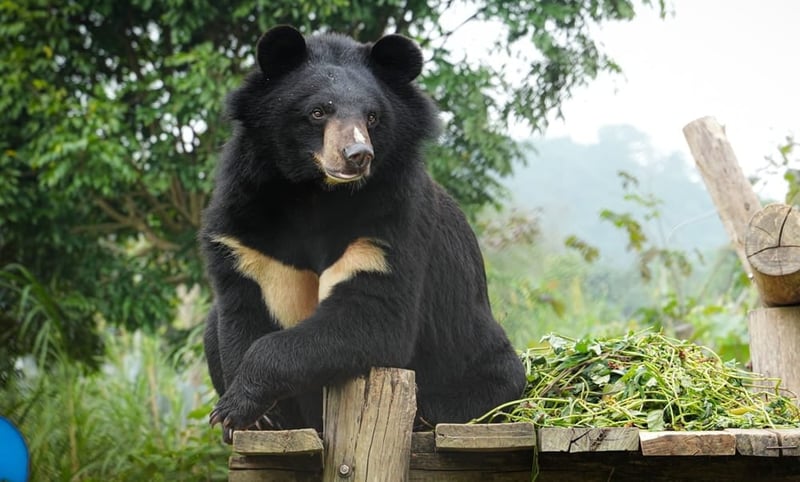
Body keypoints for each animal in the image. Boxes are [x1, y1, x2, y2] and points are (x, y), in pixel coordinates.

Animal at [200, 25, 526, 438]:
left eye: (372, 117)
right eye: (318, 111)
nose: (357, 155)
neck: (314, 192)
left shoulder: (389, 222)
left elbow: (374, 315)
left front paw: (236, 405)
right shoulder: (246, 231)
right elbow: (241, 313)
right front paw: (250, 417)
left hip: (473, 361)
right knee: (211, 328)